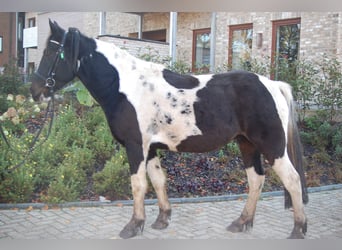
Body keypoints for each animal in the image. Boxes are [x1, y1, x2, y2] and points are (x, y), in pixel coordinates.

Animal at [30, 20, 308, 239]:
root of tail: (273, 84)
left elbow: (138, 185)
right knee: (256, 180)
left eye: (51, 51)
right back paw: (242, 222)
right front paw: (161, 219)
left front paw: (133, 226)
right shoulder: (151, 148)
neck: (125, 86)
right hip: (246, 144)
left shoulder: (135, 146)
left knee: (292, 180)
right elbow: (158, 181)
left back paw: (298, 229)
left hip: (272, 147)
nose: (35, 91)